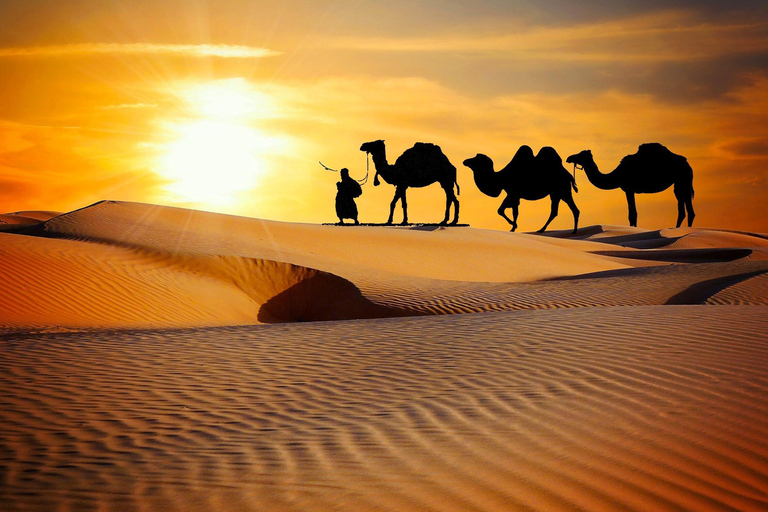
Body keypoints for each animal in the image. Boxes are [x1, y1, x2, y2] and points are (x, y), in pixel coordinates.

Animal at [566, 143, 694, 228]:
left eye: (581, 154)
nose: (569, 158)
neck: (618, 174)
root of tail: (688, 164)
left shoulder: (629, 189)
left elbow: (633, 214)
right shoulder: (628, 190)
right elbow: (632, 214)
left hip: (683, 179)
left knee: (688, 209)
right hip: (680, 183)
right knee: (683, 209)